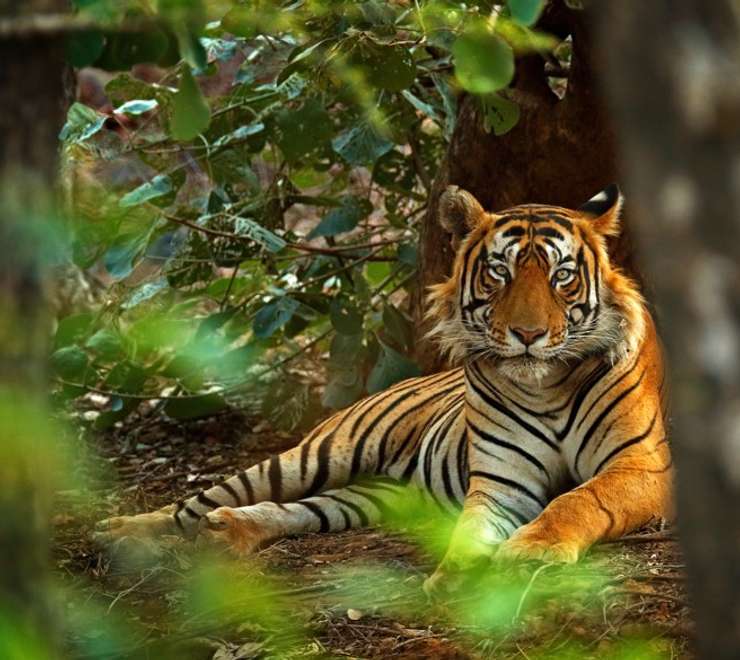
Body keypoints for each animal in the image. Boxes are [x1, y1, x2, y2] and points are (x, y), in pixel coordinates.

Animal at [95, 184, 672, 594]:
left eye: (562, 277)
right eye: (499, 273)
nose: (527, 334)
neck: (546, 386)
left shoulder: (642, 465)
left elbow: (579, 499)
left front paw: (532, 551)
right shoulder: (501, 482)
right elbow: (471, 529)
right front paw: (457, 576)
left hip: (375, 495)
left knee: (300, 510)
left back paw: (227, 531)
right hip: (317, 455)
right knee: (197, 502)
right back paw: (122, 531)